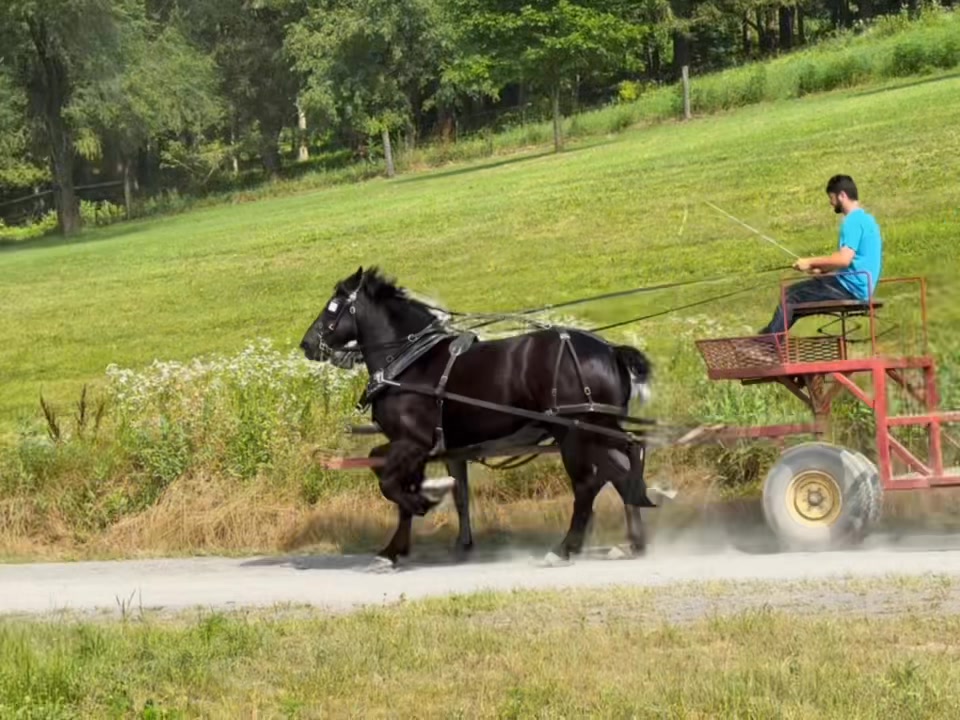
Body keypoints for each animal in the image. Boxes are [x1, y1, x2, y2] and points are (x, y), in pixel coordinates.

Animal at [300, 266, 659, 567]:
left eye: (333, 306)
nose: (306, 344)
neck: (409, 362)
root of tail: (610, 350)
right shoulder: (427, 448)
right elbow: (418, 484)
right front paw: (398, 547)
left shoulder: (413, 442)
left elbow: (389, 482)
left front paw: (422, 503)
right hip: (597, 429)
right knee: (625, 464)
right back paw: (635, 538)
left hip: (574, 432)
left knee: (589, 483)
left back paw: (565, 548)